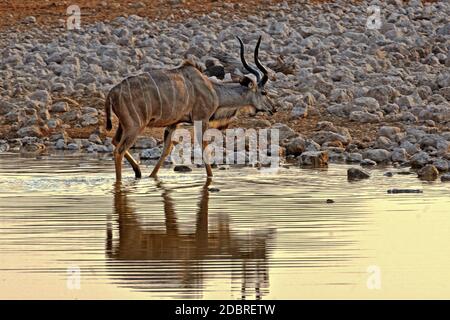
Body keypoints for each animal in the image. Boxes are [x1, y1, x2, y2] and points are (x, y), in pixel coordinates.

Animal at [105, 36, 272, 180]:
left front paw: (152, 176)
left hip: (123, 126)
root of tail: (112, 93)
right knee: (118, 150)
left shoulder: (174, 124)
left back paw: (138, 172)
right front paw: (211, 177)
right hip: (135, 127)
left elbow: (166, 151)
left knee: (115, 141)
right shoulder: (201, 120)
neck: (214, 91)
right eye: (264, 92)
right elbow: (204, 149)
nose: (273, 108)